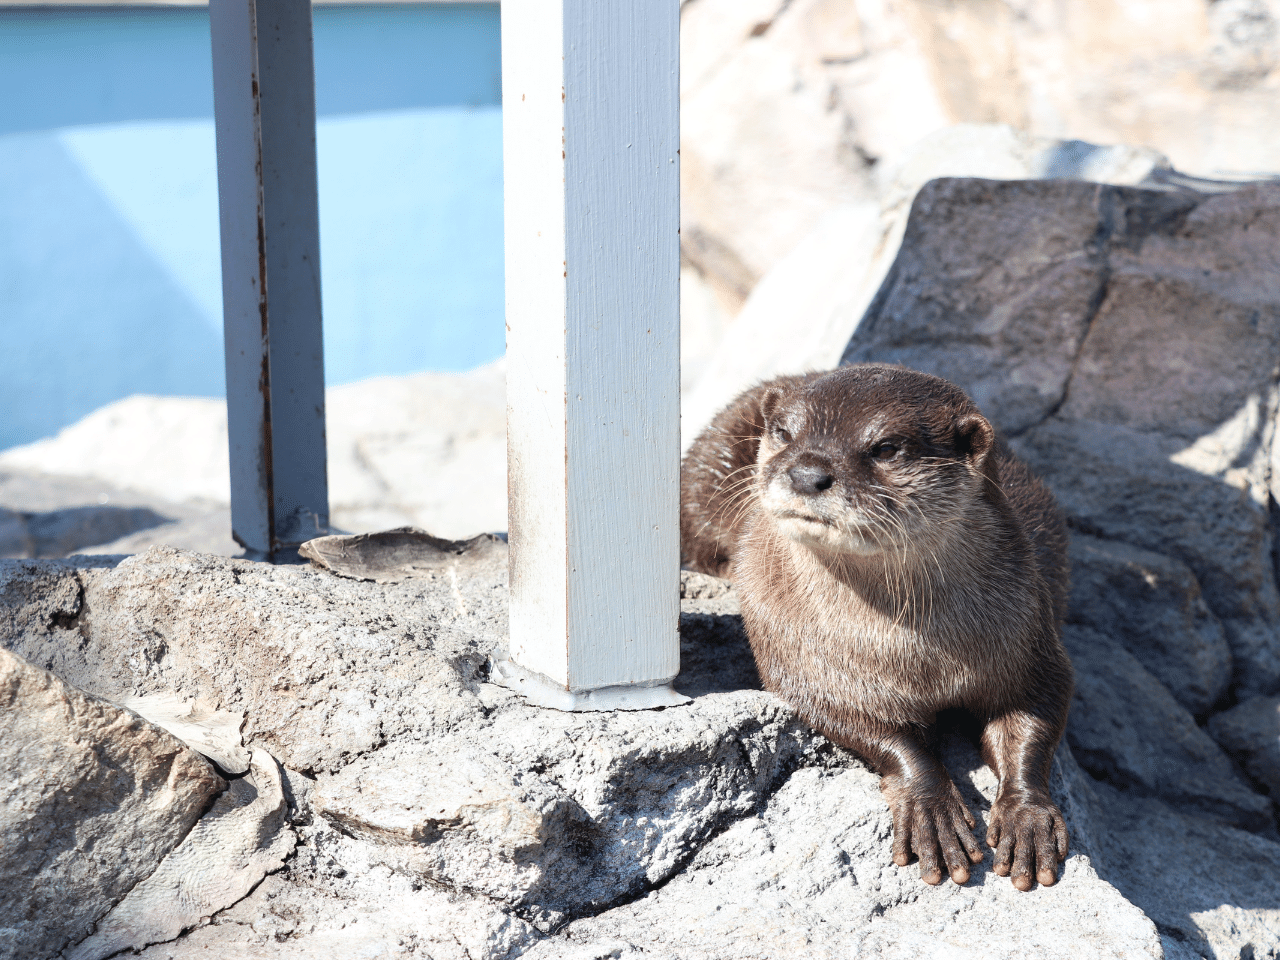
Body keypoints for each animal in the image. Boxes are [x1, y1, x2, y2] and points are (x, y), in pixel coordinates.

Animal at [686, 366, 1075, 896]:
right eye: (784, 432)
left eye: (886, 447)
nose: (807, 473)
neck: (920, 655)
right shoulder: (810, 664)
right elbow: (878, 733)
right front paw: (931, 808)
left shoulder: (1030, 631)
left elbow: (1035, 714)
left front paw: (1027, 816)